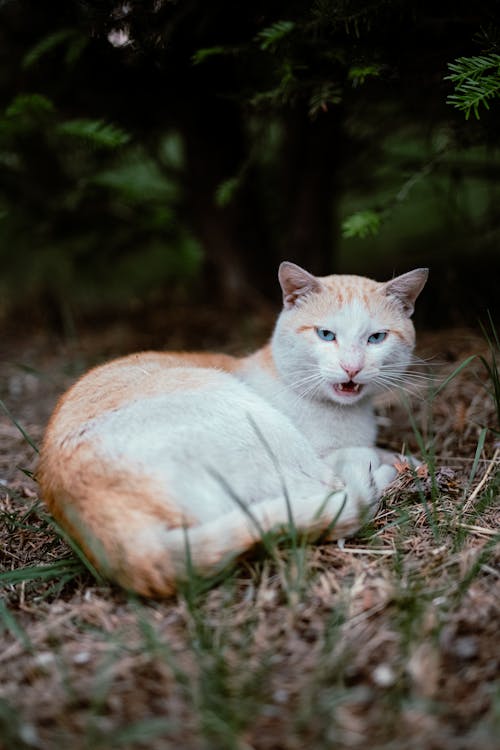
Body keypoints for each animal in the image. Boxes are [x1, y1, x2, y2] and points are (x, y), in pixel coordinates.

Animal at [37, 264, 428, 600]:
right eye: (325, 335)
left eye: (376, 338)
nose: (351, 368)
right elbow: (354, 459)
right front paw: (397, 464)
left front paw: (408, 459)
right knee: (333, 488)